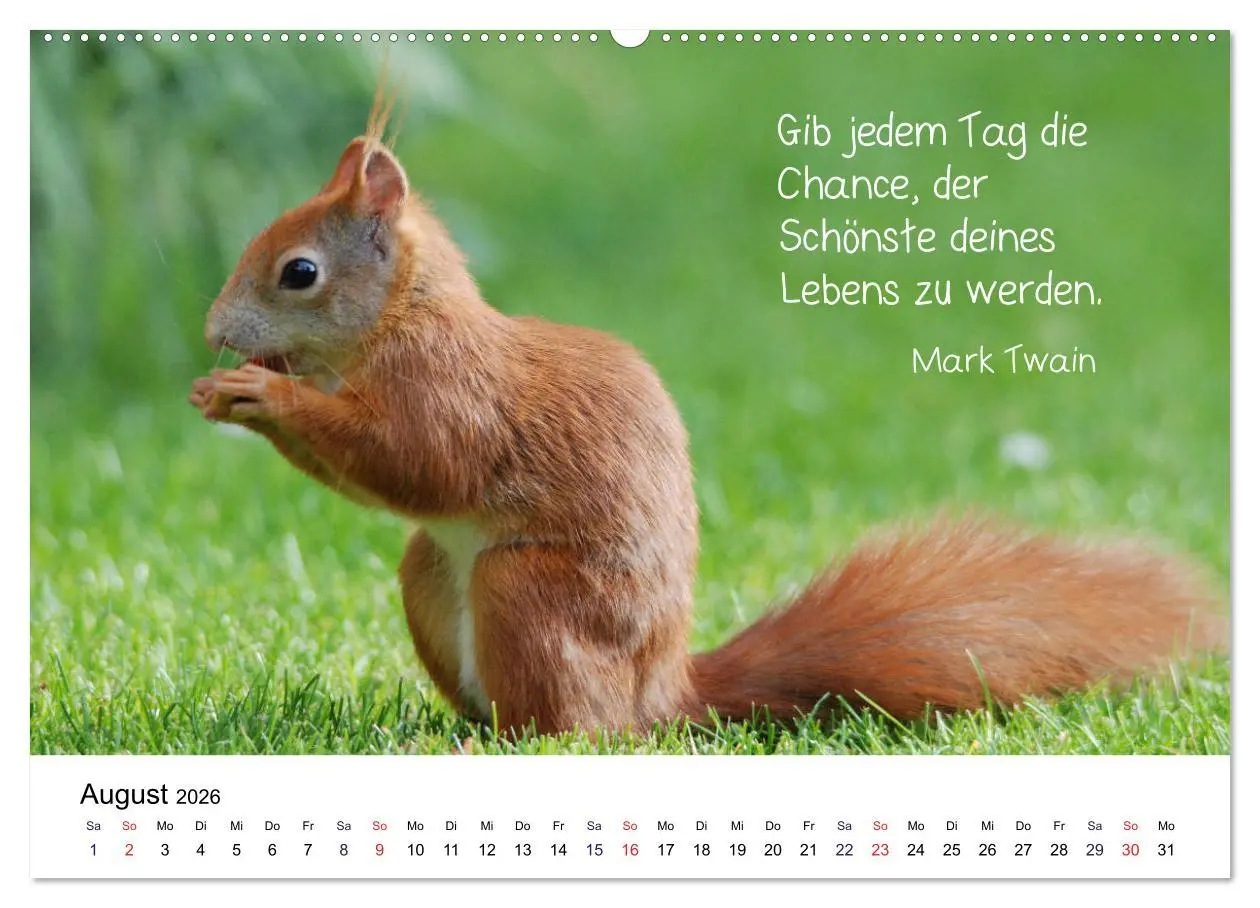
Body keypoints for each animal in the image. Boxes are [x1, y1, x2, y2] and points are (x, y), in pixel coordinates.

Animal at [189, 96, 1226, 737]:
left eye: (299, 272)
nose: (213, 332)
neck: (404, 318)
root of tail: (663, 696)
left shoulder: (448, 390)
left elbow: (413, 461)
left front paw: (262, 396)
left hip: (529, 593)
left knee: (576, 732)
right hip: (429, 574)